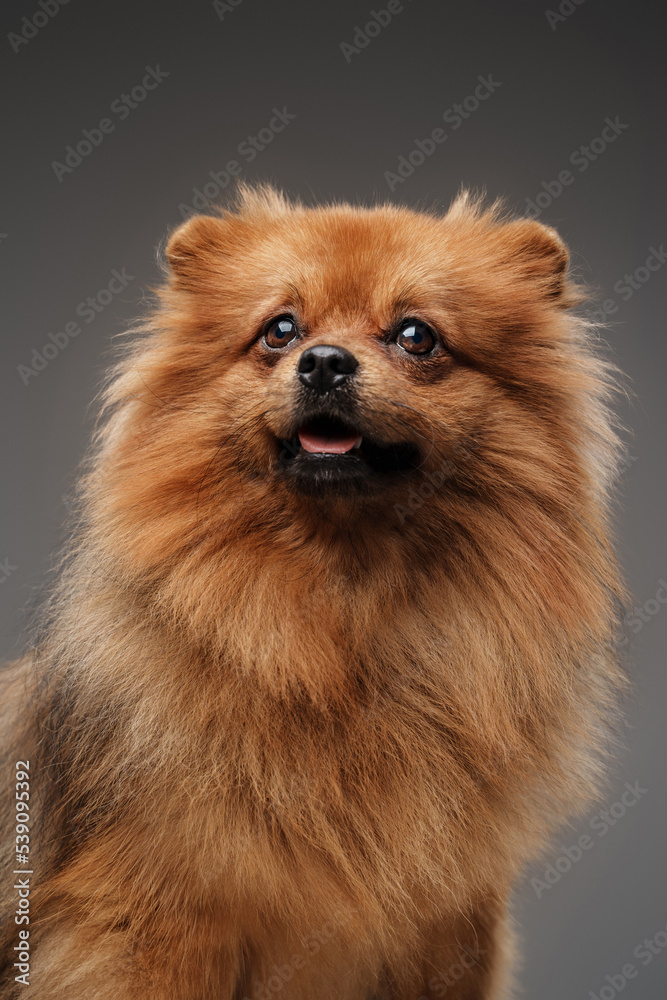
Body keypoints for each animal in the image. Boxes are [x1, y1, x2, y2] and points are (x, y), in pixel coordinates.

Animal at [0, 188, 628, 1000]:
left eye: (416, 336)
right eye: (280, 329)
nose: (324, 361)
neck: (341, 620)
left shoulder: (450, 935)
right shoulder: (151, 924)